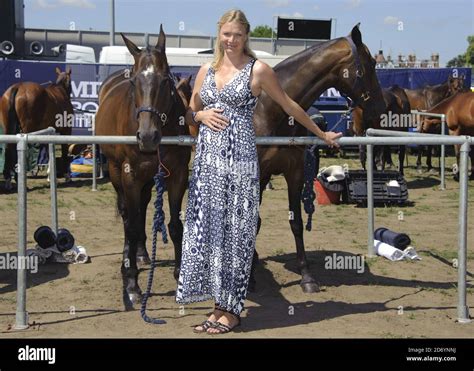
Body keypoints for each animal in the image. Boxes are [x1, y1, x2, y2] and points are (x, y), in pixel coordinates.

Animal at [94, 28, 191, 308]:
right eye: (134, 82)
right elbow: (133, 225)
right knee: (129, 216)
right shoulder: (131, 176)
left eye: (166, 81)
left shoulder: (178, 175)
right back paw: (130, 258)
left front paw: (180, 275)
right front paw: (131, 285)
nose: (147, 137)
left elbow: (175, 225)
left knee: (144, 207)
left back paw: (141, 252)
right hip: (118, 173)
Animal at [252, 24, 386, 294]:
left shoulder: (294, 173)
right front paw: (248, 277)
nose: (380, 107)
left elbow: (296, 222)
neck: (271, 110)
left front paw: (307, 277)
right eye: (371, 64)